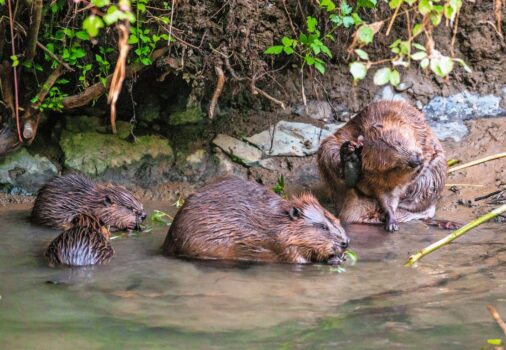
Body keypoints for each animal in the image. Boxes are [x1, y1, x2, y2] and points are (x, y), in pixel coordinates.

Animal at [162, 176, 348, 264]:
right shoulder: (280, 242)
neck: (276, 221)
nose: (346, 242)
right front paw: (334, 259)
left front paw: (342, 257)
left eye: (337, 220)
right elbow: (297, 259)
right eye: (323, 227)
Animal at [316, 100, 446, 232]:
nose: (415, 160)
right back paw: (349, 158)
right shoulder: (376, 177)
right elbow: (386, 194)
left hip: (436, 168)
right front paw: (391, 220)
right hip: (327, 147)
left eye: (398, 143)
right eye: (394, 165)